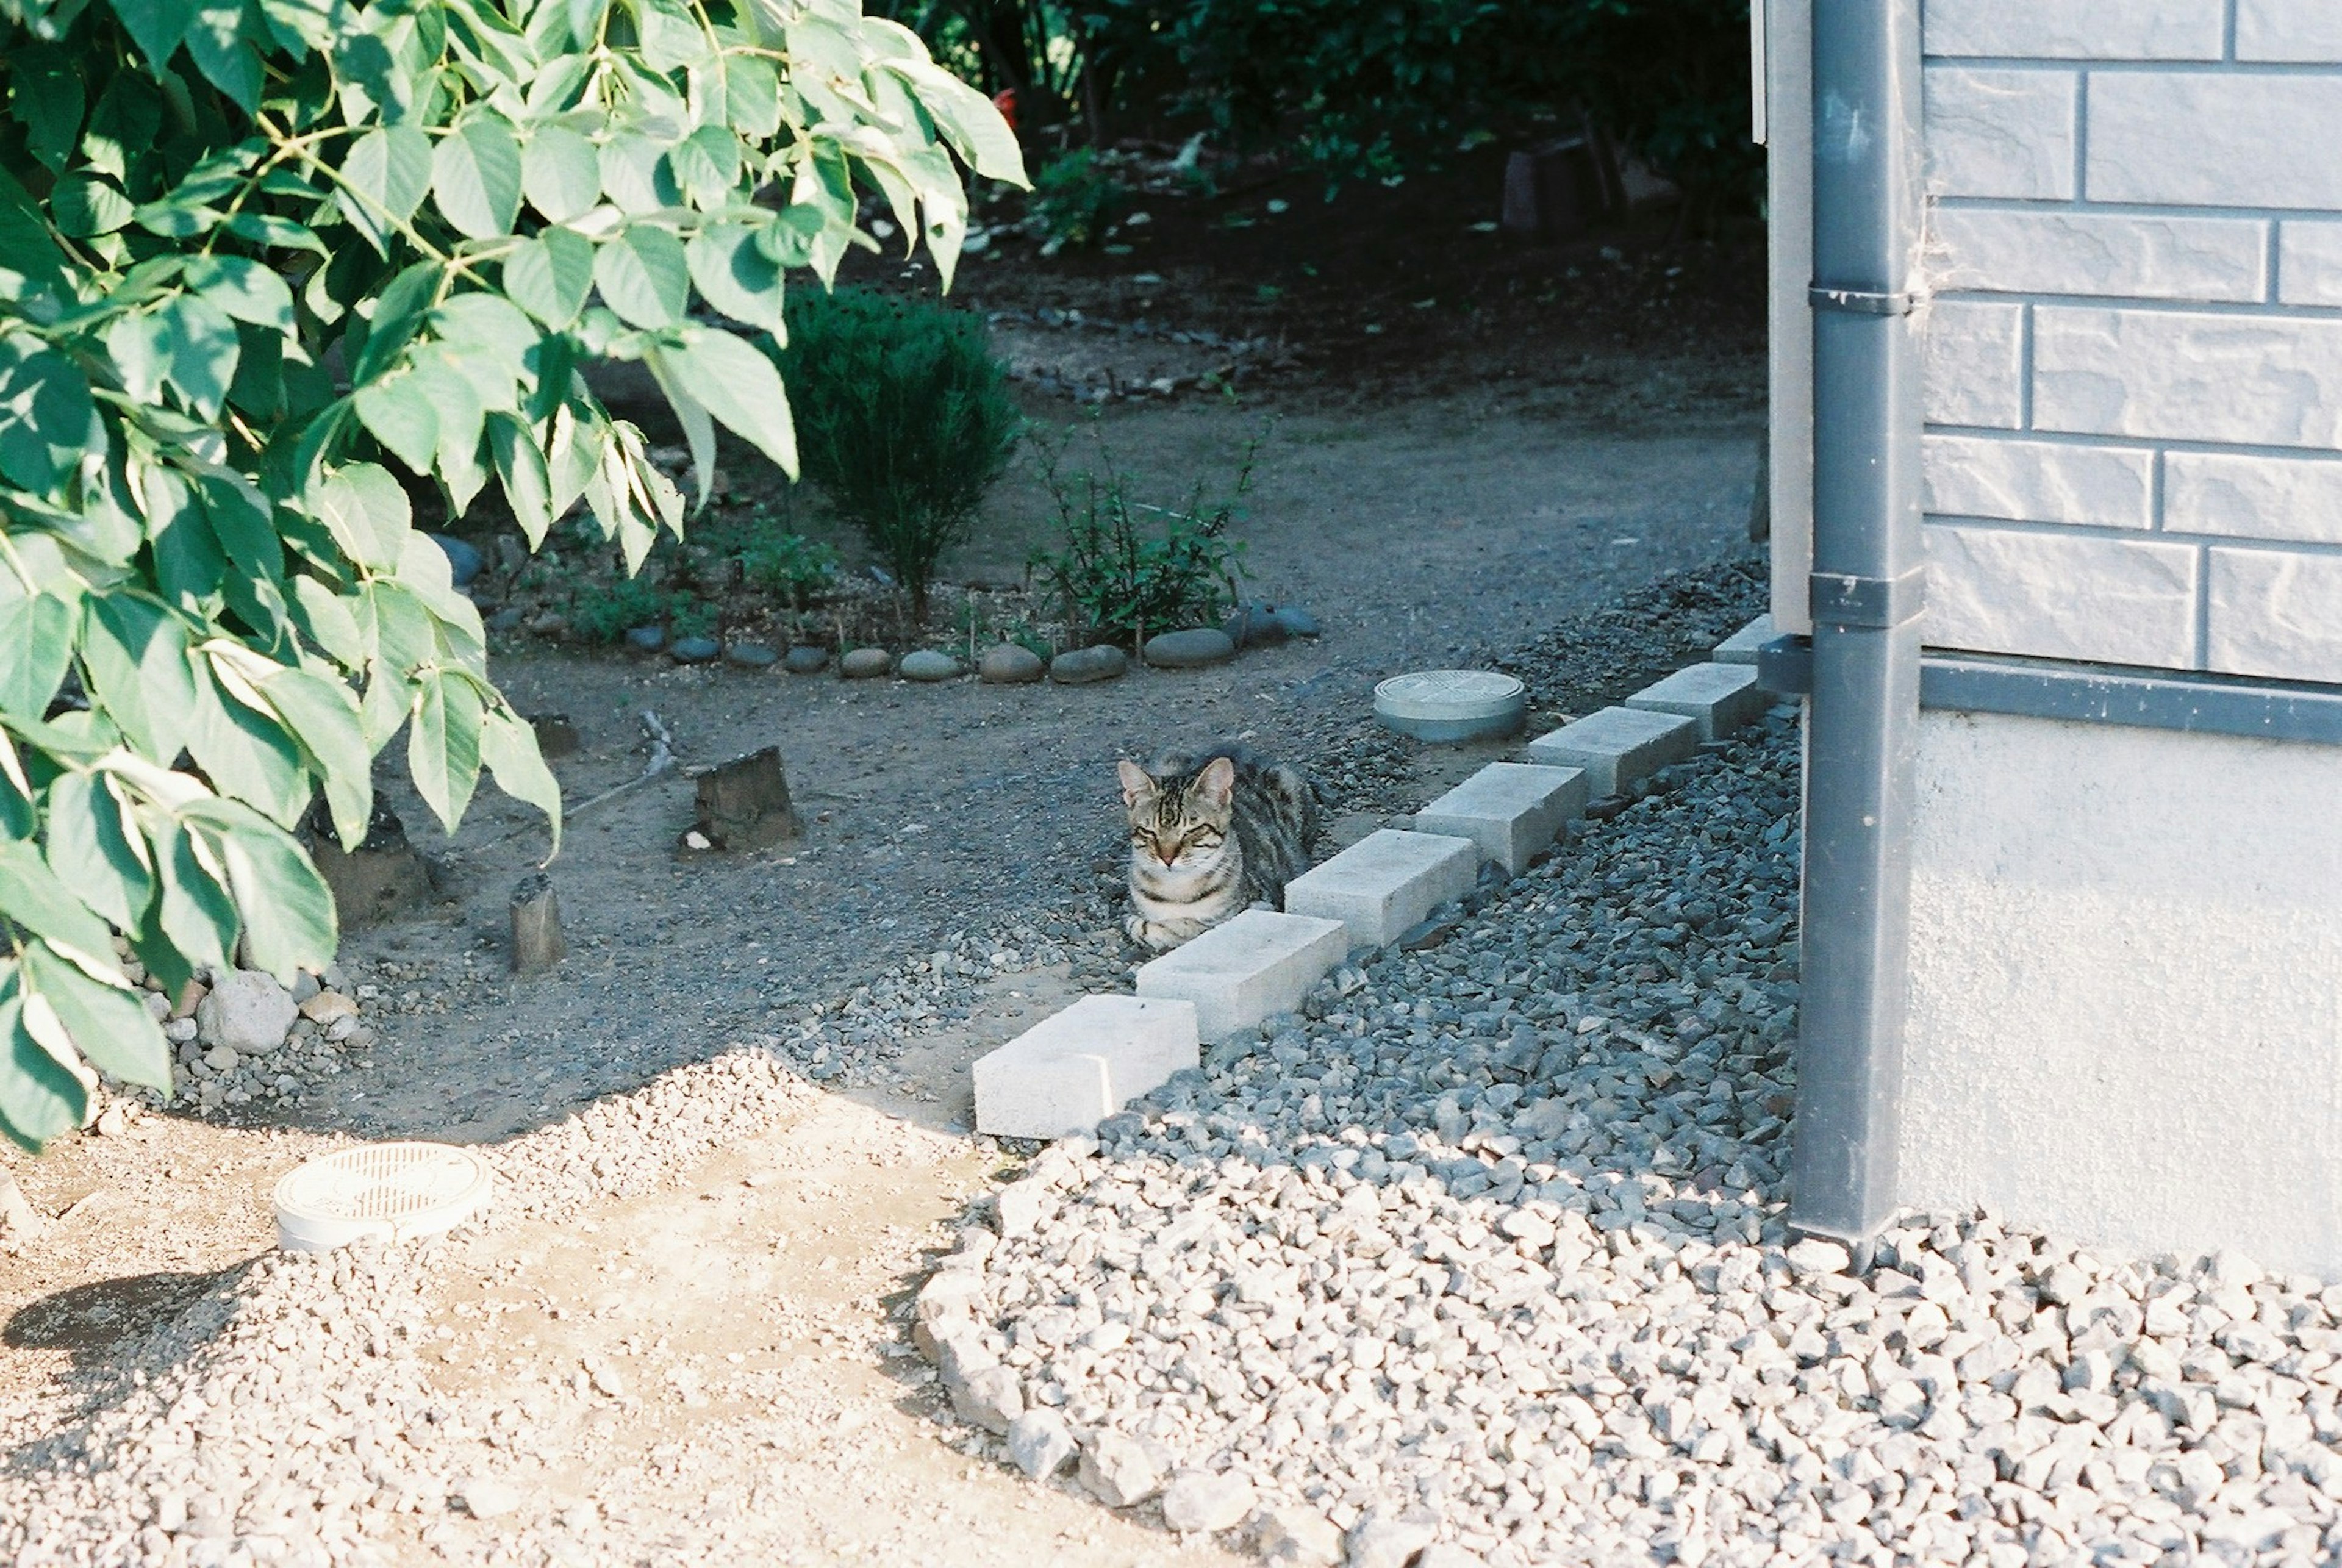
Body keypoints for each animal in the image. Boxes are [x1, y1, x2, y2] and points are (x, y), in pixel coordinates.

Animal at [1114, 753, 1320, 959]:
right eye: (1148, 832)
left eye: (1193, 830)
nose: (1167, 859)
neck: (1177, 890)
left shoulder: (1257, 906)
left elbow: (1186, 926)